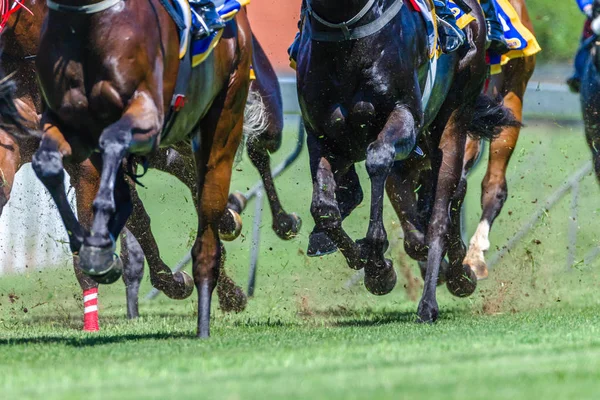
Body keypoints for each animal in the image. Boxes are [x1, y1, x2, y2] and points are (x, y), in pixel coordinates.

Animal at [296, 0, 516, 320]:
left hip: (453, 120)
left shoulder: (404, 115)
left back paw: (434, 298)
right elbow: (324, 209)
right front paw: (371, 262)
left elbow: (378, 160)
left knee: (441, 213)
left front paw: (378, 263)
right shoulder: (322, 135)